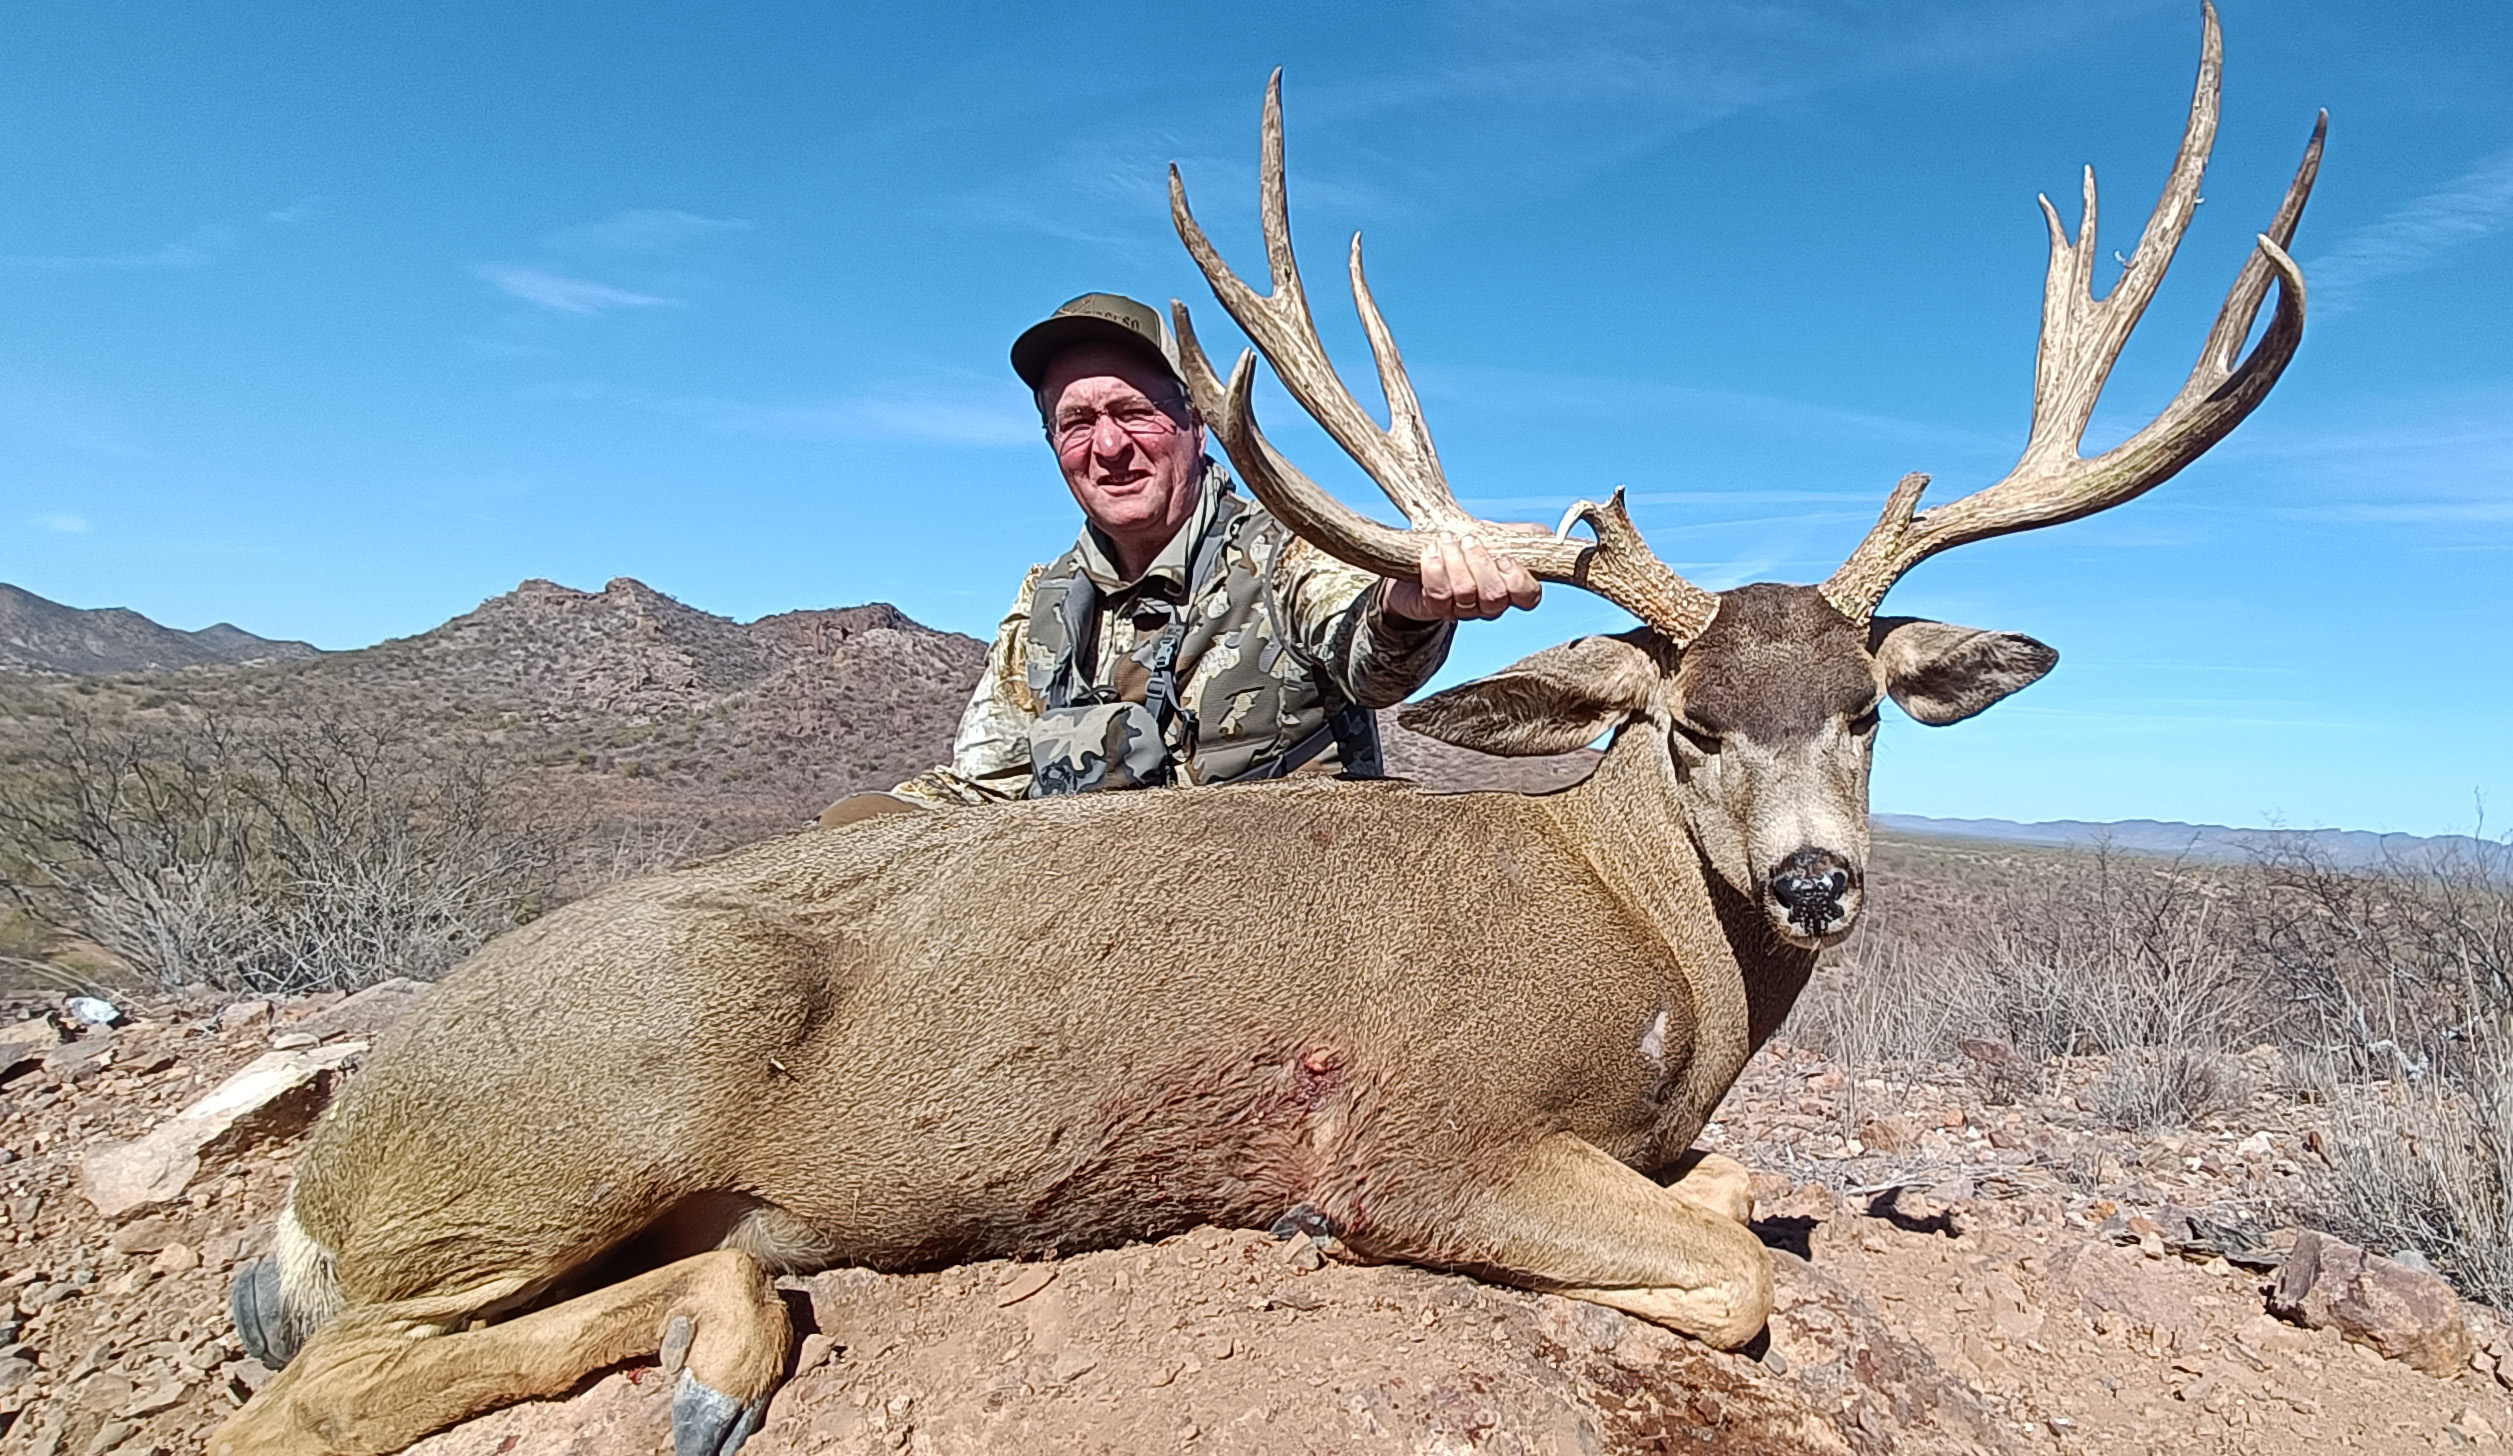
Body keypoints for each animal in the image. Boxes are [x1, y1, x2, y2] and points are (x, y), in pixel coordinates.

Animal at [213, 9, 2319, 1454]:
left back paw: (719, 1334)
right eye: (1690, 721)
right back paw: (711, 1364)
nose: (1813, 883)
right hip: (608, 1094)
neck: (1643, 941)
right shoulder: (1424, 1123)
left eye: (1870, 706)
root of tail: (332, 1168)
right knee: (316, 1387)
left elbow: (1727, 1196)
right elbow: (1725, 1263)